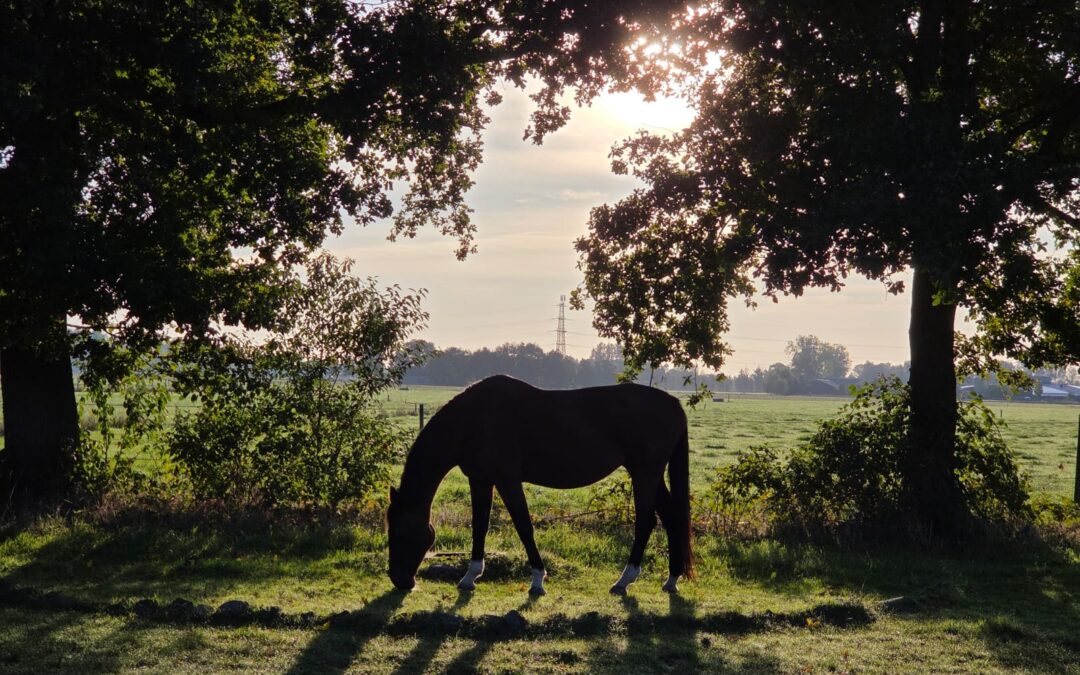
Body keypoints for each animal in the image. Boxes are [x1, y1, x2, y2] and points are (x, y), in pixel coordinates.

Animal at [386, 374, 694, 596]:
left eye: (399, 532)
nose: (400, 581)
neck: (473, 420)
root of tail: (673, 404)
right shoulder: (480, 479)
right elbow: (479, 526)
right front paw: (470, 576)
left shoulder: (507, 479)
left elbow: (524, 526)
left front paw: (537, 581)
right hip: (648, 474)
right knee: (670, 517)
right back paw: (671, 579)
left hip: (645, 473)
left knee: (646, 522)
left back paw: (624, 581)